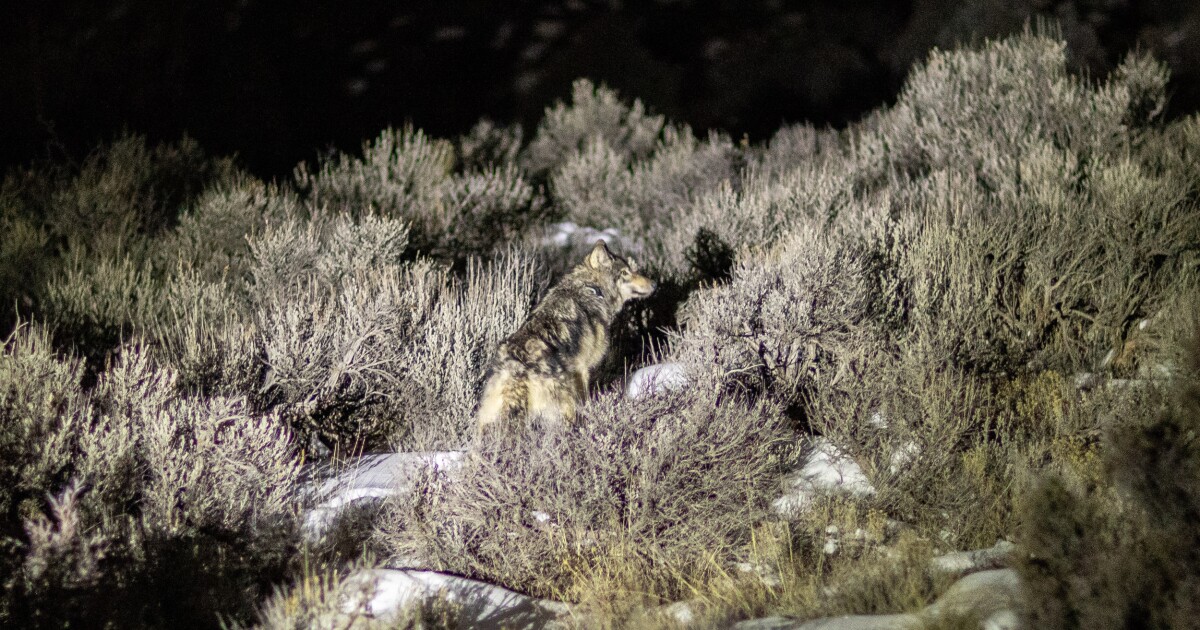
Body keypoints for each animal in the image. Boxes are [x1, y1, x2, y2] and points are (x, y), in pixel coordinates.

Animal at [475, 241, 656, 433]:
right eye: (625, 273)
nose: (654, 284)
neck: (591, 289)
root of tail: (515, 369)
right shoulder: (583, 369)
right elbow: (585, 400)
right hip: (564, 403)